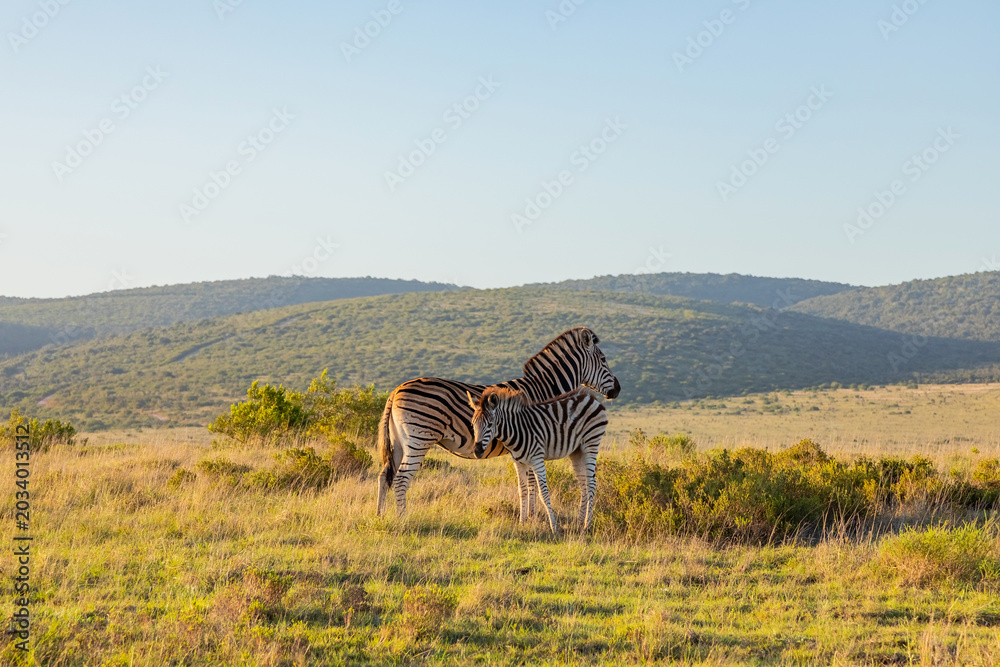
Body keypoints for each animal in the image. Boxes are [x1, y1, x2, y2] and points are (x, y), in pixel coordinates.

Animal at [376, 327, 620, 516]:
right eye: (604, 360)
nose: (617, 389)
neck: (542, 390)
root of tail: (395, 390)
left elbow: (528, 484)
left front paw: (530, 517)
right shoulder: (532, 439)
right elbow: (532, 484)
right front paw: (533, 518)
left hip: (400, 442)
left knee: (385, 476)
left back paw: (381, 517)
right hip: (419, 438)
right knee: (401, 479)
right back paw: (403, 519)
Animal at [466, 386, 608, 535]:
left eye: (490, 424)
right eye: (473, 424)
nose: (477, 451)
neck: (517, 430)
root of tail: (590, 397)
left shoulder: (537, 459)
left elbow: (543, 493)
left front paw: (554, 527)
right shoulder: (519, 462)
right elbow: (522, 490)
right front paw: (522, 522)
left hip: (591, 443)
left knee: (591, 483)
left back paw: (588, 525)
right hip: (577, 451)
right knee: (583, 484)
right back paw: (580, 523)